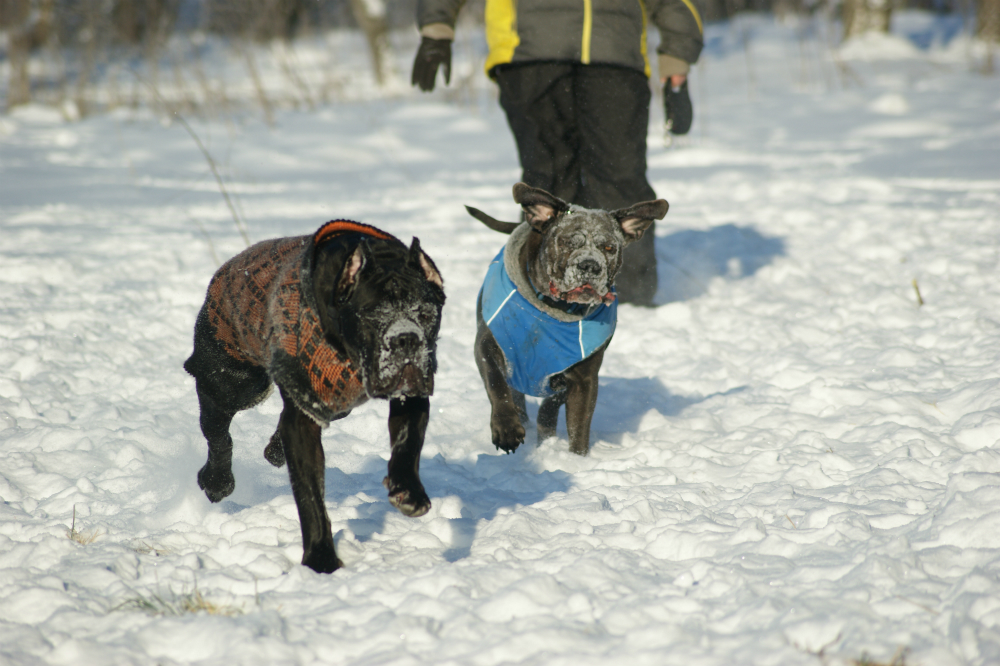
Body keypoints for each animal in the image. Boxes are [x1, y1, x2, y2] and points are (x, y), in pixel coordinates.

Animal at [181, 220, 446, 572]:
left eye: (427, 313)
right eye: (372, 314)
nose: (406, 338)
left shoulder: (410, 394)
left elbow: (407, 444)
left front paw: (408, 491)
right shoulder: (302, 422)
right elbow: (310, 498)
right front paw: (321, 558)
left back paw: (273, 451)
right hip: (236, 381)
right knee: (218, 431)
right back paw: (216, 480)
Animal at [466, 182, 668, 454]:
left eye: (609, 247)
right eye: (567, 242)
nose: (590, 266)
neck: (554, 310)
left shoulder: (584, 378)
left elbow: (578, 426)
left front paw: (576, 460)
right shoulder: (489, 345)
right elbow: (498, 385)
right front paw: (507, 429)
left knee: (549, 407)